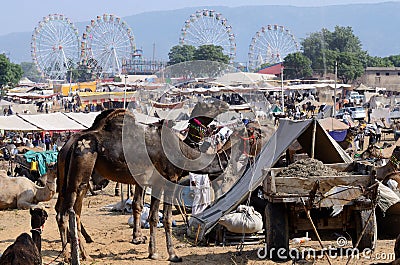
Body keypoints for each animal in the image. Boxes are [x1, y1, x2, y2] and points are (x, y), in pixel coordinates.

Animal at [55, 105, 256, 262]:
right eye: (210, 105)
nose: (230, 109)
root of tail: (70, 145)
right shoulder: (168, 180)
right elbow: (163, 218)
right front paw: (171, 254)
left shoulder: (152, 182)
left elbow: (148, 213)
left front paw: (150, 249)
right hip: (82, 169)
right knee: (67, 213)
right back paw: (72, 255)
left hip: (70, 178)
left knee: (69, 212)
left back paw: (79, 253)